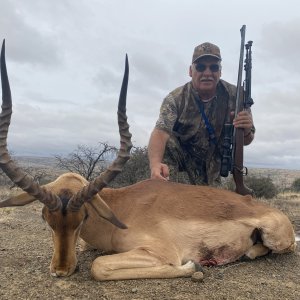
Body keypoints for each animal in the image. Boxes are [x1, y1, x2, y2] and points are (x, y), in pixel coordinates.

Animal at [0, 40, 296, 282]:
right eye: (44, 217)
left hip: (276, 238)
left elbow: (99, 266)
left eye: (83, 217)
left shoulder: (159, 251)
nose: (61, 271)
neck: (122, 207)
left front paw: (194, 267)